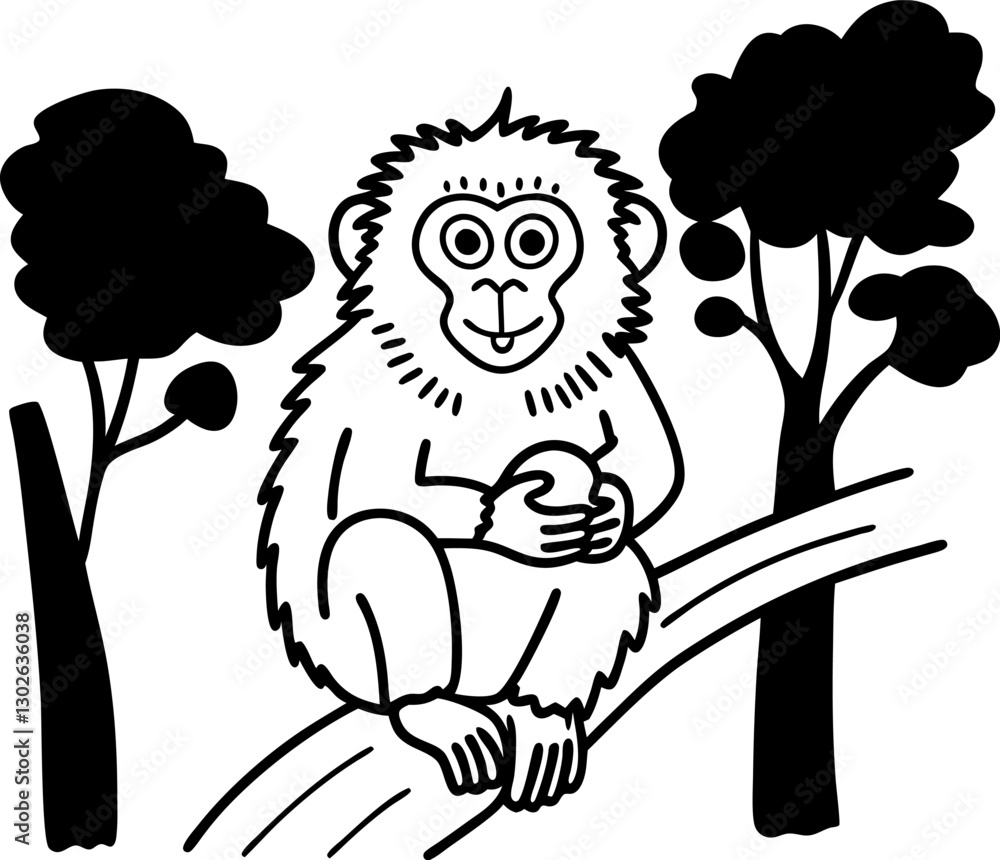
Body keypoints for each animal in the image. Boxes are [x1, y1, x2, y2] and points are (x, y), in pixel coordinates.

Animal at [260, 89, 682, 812]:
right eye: (464, 243)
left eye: (534, 242)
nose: (501, 289)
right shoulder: (375, 373)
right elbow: (371, 490)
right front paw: (511, 518)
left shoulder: (608, 365)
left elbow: (651, 462)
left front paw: (609, 507)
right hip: (354, 653)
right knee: (382, 541)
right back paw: (434, 710)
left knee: (610, 565)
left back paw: (544, 714)